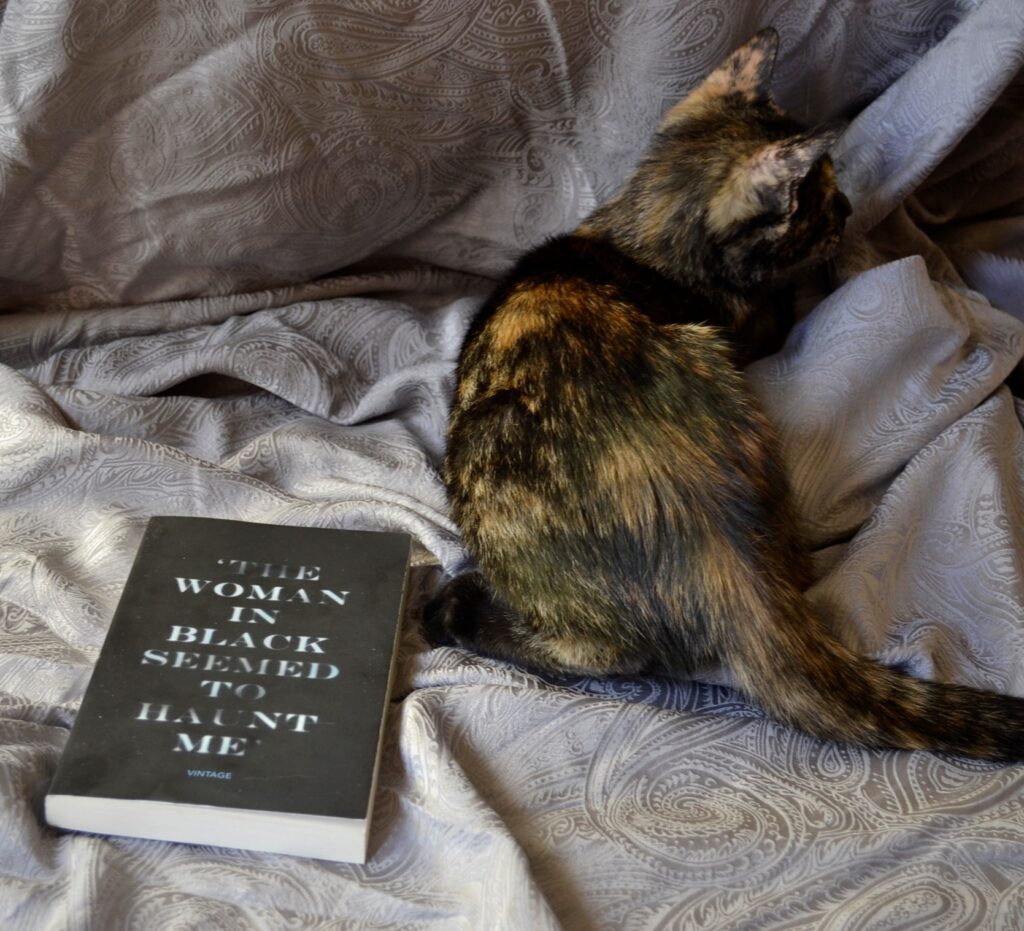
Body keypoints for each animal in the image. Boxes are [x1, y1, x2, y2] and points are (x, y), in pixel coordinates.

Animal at [423, 29, 1024, 757]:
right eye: (818, 200)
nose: (850, 210)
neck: (639, 240)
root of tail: (720, 552)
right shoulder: (746, 327)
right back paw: (453, 610)